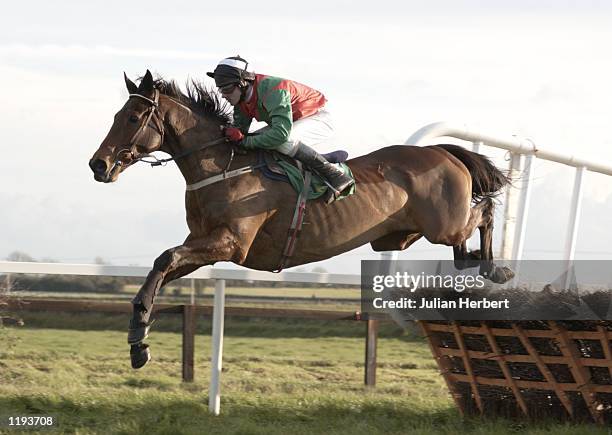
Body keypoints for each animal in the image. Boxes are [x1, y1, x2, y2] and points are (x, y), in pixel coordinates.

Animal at [88, 70, 512, 368]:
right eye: (117, 114)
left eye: (134, 117)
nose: (99, 165)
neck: (222, 166)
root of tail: (444, 152)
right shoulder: (203, 245)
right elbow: (161, 268)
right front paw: (138, 339)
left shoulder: (228, 244)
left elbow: (165, 258)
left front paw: (139, 333)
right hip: (401, 236)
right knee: (462, 245)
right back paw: (474, 264)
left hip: (443, 223)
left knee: (484, 213)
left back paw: (496, 268)